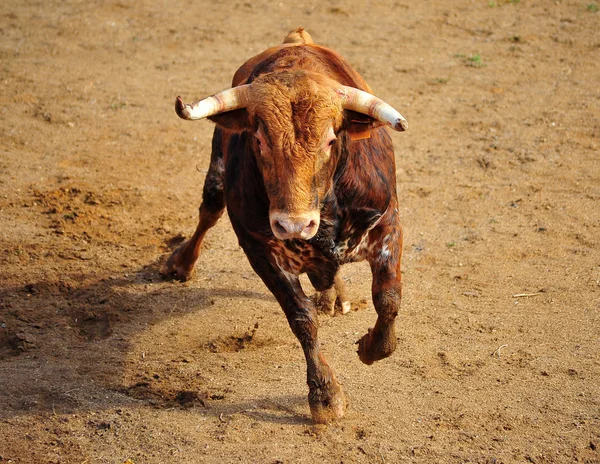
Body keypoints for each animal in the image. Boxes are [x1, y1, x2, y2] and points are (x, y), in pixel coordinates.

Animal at [163, 27, 408, 422]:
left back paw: (334, 296)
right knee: (209, 208)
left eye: (330, 139)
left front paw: (371, 347)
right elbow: (301, 317)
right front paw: (324, 395)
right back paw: (180, 264)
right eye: (259, 139)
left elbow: (388, 299)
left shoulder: (388, 226)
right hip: (217, 170)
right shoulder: (261, 250)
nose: (294, 225)